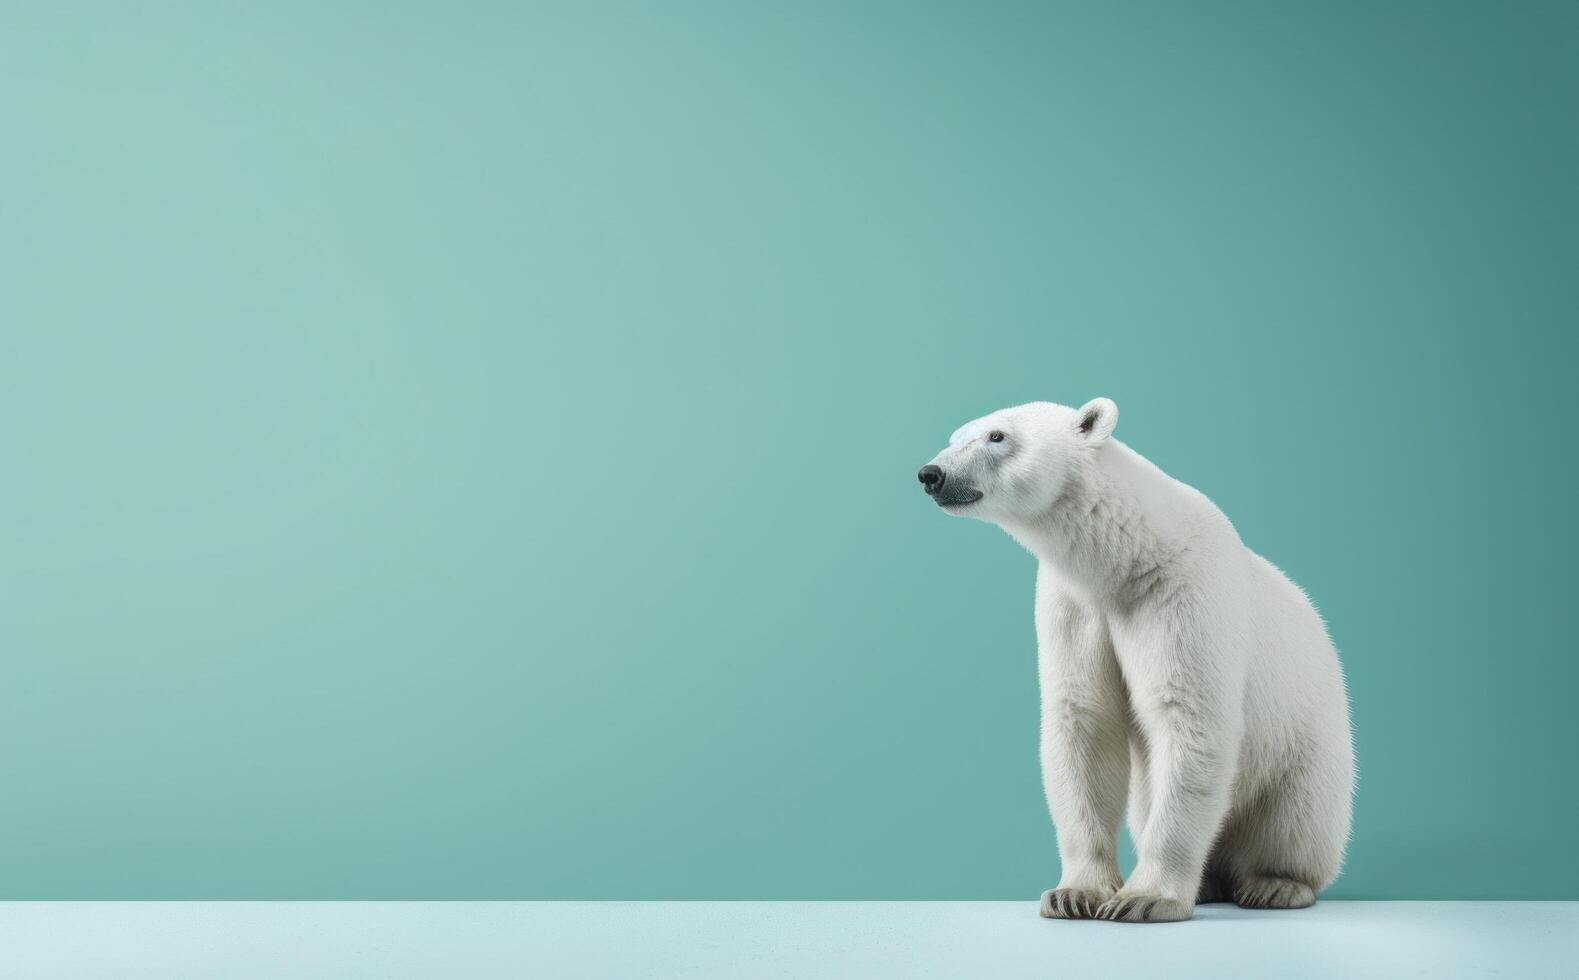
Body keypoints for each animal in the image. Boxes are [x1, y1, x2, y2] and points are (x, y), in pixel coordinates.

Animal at [922, 396, 1351, 915]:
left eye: (997, 436)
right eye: (954, 437)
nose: (931, 474)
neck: (1129, 557)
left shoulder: (1183, 597)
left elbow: (1189, 717)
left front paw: (1145, 898)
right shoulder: (1076, 607)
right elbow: (1085, 721)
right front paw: (1076, 893)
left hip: (1307, 745)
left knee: (1295, 818)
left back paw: (1274, 884)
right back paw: (1209, 884)